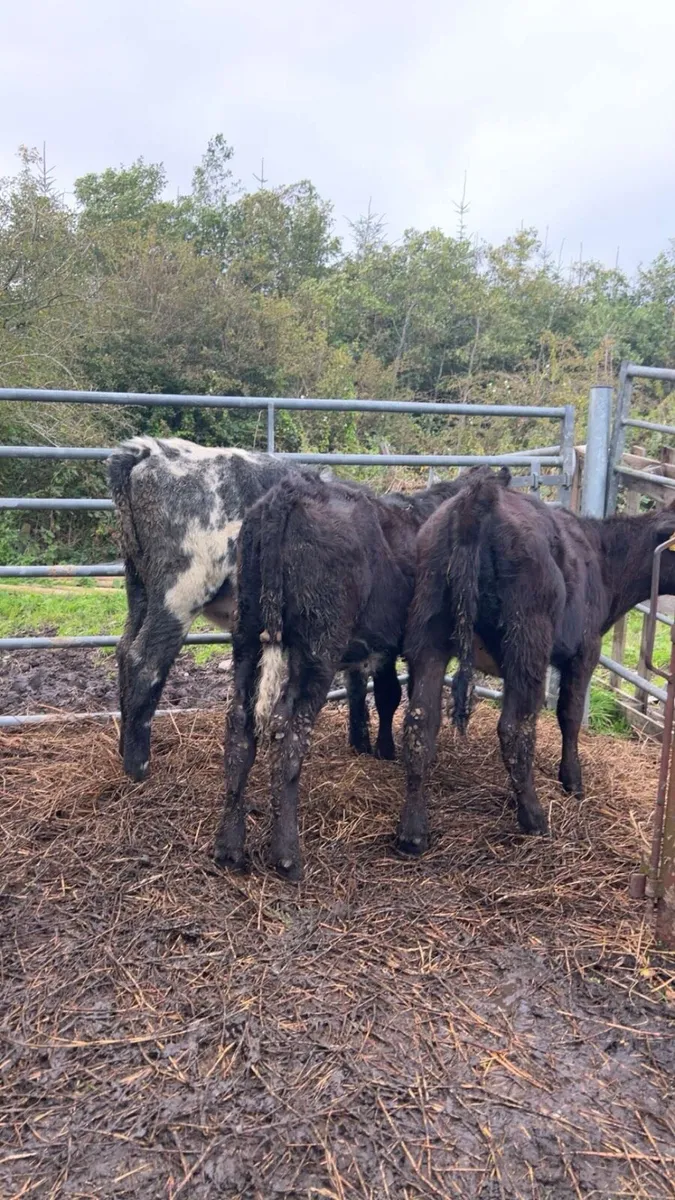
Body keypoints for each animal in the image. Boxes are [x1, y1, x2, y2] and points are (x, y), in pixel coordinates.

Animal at [213, 467, 504, 880]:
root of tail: (289, 493)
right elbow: (407, 707)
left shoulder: (380, 647)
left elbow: (381, 694)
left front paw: (375, 747)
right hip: (316, 650)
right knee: (287, 734)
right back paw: (287, 855)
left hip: (247, 635)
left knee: (239, 724)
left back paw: (228, 847)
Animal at [396, 468, 675, 855]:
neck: (603, 558)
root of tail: (479, 498)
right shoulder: (585, 650)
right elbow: (569, 714)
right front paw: (572, 780)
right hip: (527, 640)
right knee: (515, 728)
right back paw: (534, 817)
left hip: (428, 631)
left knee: (419, 723)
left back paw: (412, 831)